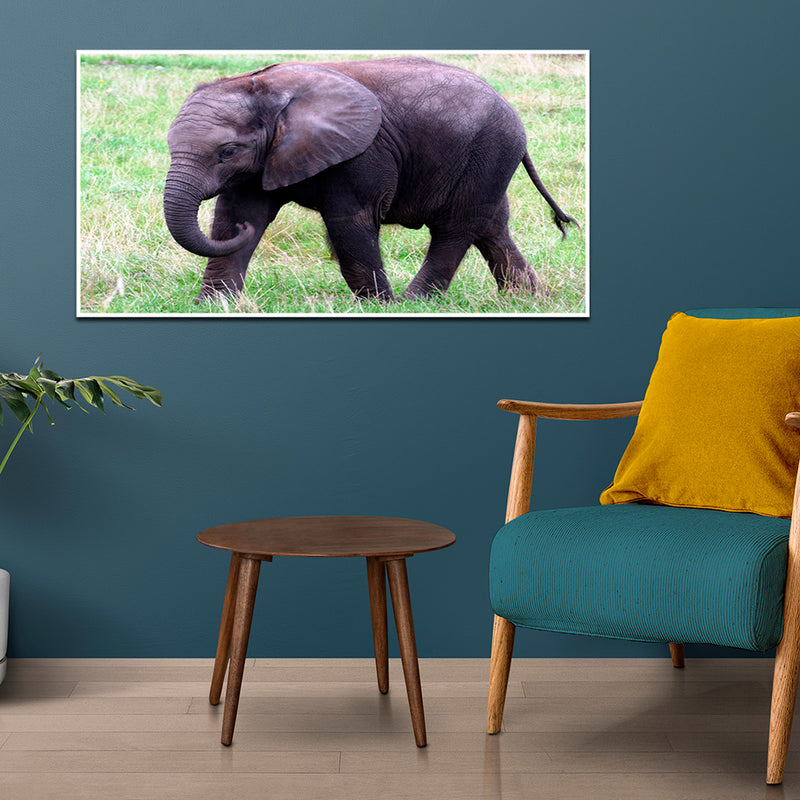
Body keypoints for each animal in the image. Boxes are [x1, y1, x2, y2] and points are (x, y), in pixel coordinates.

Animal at [163, 56, 577, 303]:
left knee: (455, 228)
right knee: (491, 227)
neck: (268, 90)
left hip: (489, 151)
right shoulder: (265, 158)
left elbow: (350, 222)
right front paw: (212, 304)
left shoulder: (363, 154)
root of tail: (512, 112)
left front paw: (378, 305)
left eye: (227, 151)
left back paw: (413, 302)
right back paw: (526, 299)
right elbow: (236, 213)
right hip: (487, 159)